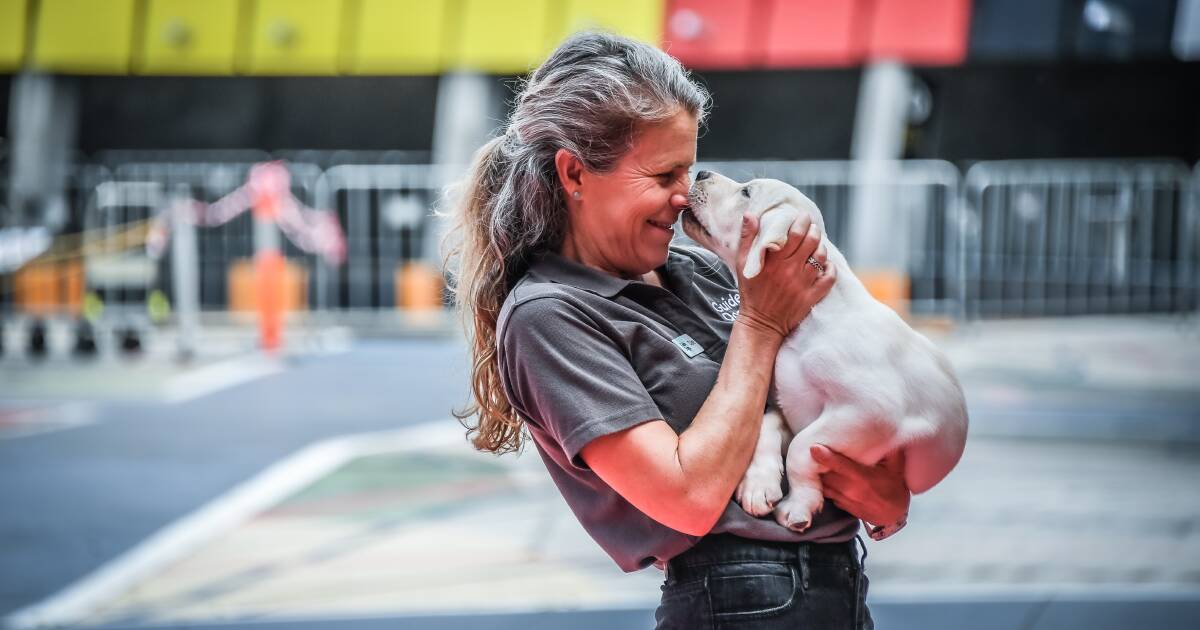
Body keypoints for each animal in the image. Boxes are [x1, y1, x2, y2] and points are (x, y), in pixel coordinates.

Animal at [686, 170, 964, 530]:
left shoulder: (872, 411)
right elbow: (766, 423)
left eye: (746, 192)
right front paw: (758, 484)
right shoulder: (791, 403)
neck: (812, 315)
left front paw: (799, 504)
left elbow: (801, 448)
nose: (701, 172)